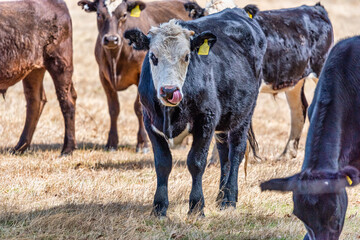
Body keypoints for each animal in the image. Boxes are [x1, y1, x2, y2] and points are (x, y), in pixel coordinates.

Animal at [0, 0, 76, 156]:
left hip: (60, 64)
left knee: (67, 102)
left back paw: (67, 149)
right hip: (33, 70)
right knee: (35, 101)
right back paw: (20, 147)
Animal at [77, 0, 193, 153]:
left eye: (124, 15)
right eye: (99, 14)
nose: (111, 39)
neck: (116, 57)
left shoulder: (141, 78)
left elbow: (139, 108)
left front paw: (143, 143)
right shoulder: (104, 77)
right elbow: (113, 109)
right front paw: (111, 143)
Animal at [125, 7, 266, 218]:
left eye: (186, 56)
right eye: (153, 57)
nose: (169, 91)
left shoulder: (205, 121)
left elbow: (196, 162)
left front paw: (197, 206)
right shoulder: (150, 123)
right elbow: (162, 163)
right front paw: (159, 207)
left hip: (244, 114)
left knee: (236, 152)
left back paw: (229, 199)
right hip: (224, 122)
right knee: (224, 154)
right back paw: (220, 197)